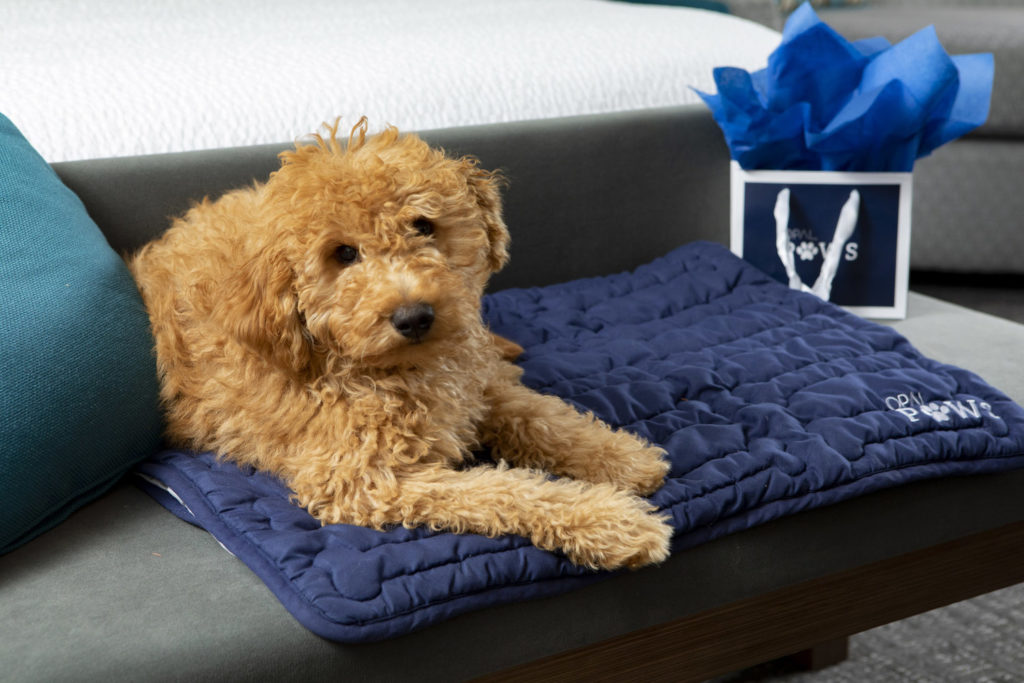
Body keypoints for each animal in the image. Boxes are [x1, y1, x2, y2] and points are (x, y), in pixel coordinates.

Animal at [130, 120, 671, 569]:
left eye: (423, 225)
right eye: (343, 254)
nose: (415, 316)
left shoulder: (476, 385)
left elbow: (541, 416)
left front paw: (623, 457)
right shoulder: (365, 480)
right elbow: (501, 489)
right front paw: (613, 522)